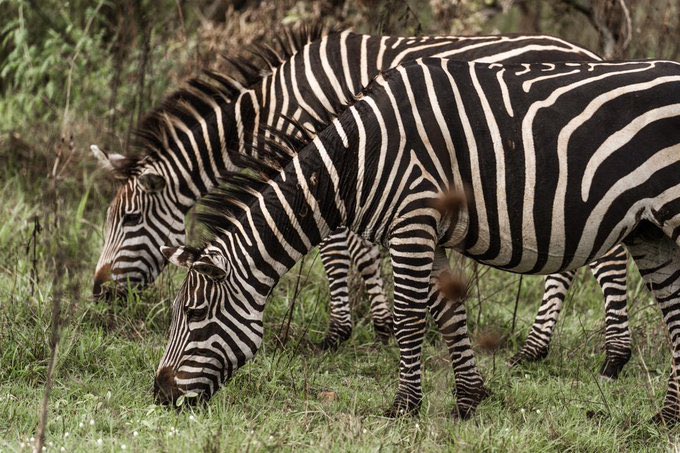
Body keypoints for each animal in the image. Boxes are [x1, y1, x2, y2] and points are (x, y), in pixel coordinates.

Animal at [93, 26, 628, 368]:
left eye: (132, 219)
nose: (99, 292)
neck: (275, 103)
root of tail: (592, 54)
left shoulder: (326, 157)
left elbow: (336, 248)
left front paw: (340, 331)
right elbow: (361, 247)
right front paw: (384, 324)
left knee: (609, 254)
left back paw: (596, 355)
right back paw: (538, 349)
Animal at [154, 59, 680, 424]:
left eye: (194, 315)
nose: (159, 395)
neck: (358, 159)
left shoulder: (412, 221)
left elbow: (411, 317)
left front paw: (405, 407)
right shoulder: (433, 231)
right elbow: (449, 314)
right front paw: (469, 400)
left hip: (670, 212)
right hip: (650, 231)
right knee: (675, 312)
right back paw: (666, 418)